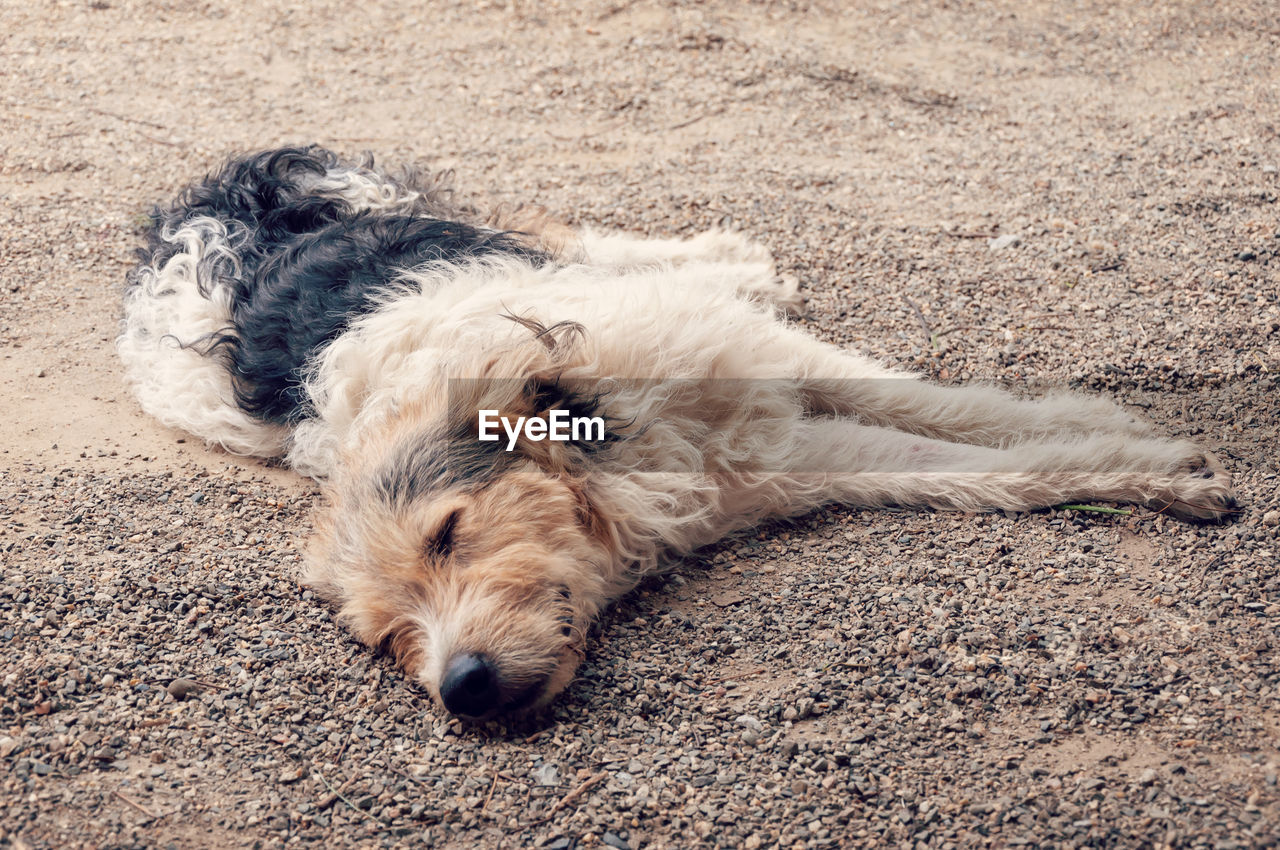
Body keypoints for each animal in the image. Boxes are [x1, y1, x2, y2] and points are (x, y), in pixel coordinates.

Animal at [122, 145, 1239, 716]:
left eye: (448, 532)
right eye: (385, 637)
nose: (465, 689)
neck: (620, 452)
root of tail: (191, 218)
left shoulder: (769, 360)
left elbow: (952, 406)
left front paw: (1110, 428)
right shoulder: (796, 465)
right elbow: (988, 472)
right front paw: (1145, 473)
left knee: (573, 230)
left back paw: (726, 255)